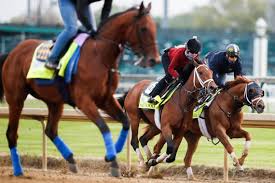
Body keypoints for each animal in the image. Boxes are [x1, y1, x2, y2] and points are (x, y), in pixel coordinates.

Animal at [0, 2, 160, 177]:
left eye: (154, 28)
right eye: (143, 29)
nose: (155, 59)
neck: (100, 55)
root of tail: (12, 52)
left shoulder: (105, 99)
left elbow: (125, 122)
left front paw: (116, 152)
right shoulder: (84, 100)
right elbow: (104, 126)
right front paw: (112, 160)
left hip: (54, 102)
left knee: (50, 130)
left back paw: (71, 160)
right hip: (16, 98)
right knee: (11, 133)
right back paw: (18, 170)